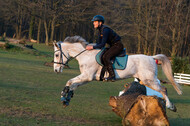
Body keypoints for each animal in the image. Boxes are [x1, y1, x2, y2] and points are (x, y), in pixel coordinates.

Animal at [53, 35, 183, 111]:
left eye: (57, 55)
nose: (56, 70)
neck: (86, 55)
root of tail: (151, 57)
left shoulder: (87, 76)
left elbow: (69, 81)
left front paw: (63, 95)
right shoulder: (88, 78)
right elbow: (73, 85)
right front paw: (66, 99)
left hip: (149, 80)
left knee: (163, 89)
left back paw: (170, 106)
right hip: (147, 80)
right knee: (162, 88)